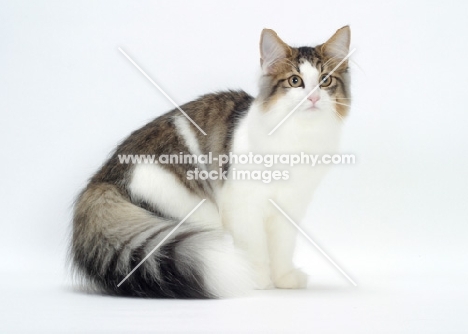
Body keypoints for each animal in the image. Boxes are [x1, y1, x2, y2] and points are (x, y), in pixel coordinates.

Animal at [70, 25, 352, 298]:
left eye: (325, 80)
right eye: (295, 81)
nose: (313, 98)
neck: (301, 138)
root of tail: (102, 179)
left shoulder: (290, 207)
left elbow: (282, 249)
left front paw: (284, 279)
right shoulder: (243, 206)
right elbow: (255, 248)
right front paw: (257, 280)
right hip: (195, 208)